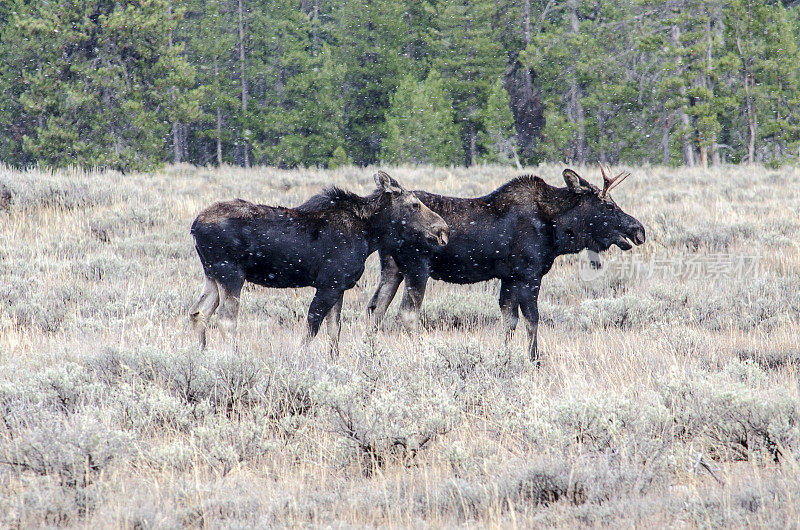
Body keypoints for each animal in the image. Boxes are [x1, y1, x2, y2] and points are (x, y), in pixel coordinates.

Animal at [189, 170, 450, 350]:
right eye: (415, 205)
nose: (443, 228)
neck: (370, 235)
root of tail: (195, 225)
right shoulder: (328, 284)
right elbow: (311, 329)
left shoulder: (339, 286)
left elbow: (334, 331)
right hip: (231, 273)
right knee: (226, 319)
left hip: (211, 274)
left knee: (198, 313)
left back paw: (200, 354)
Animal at [368, 166, 644, 364]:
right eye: (608, 205)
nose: (638, 229)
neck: (557, 230)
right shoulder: (529, 274)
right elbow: (532, 319)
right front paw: (534, 361)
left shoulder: (509, 277)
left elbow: (509, 320)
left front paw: (506, 357)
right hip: (417, 268)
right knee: (406, 313)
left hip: (392, 268)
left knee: (375, 308)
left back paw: (370, 353)